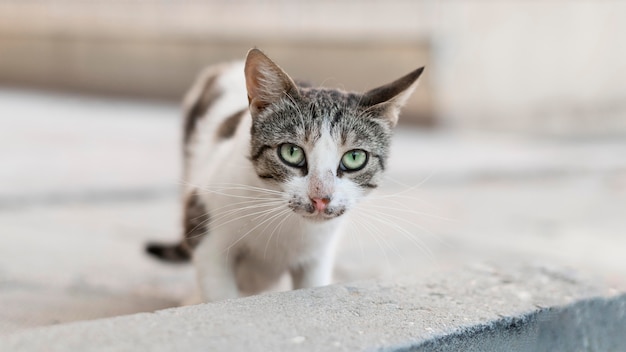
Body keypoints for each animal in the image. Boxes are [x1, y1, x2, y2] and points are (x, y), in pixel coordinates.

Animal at [146, 48, 422, 302]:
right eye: (291, 152)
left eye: (354, 158)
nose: (321, 197)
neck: (286, 224)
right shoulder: (207, 233)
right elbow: (219, 293)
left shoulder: (317, 256)